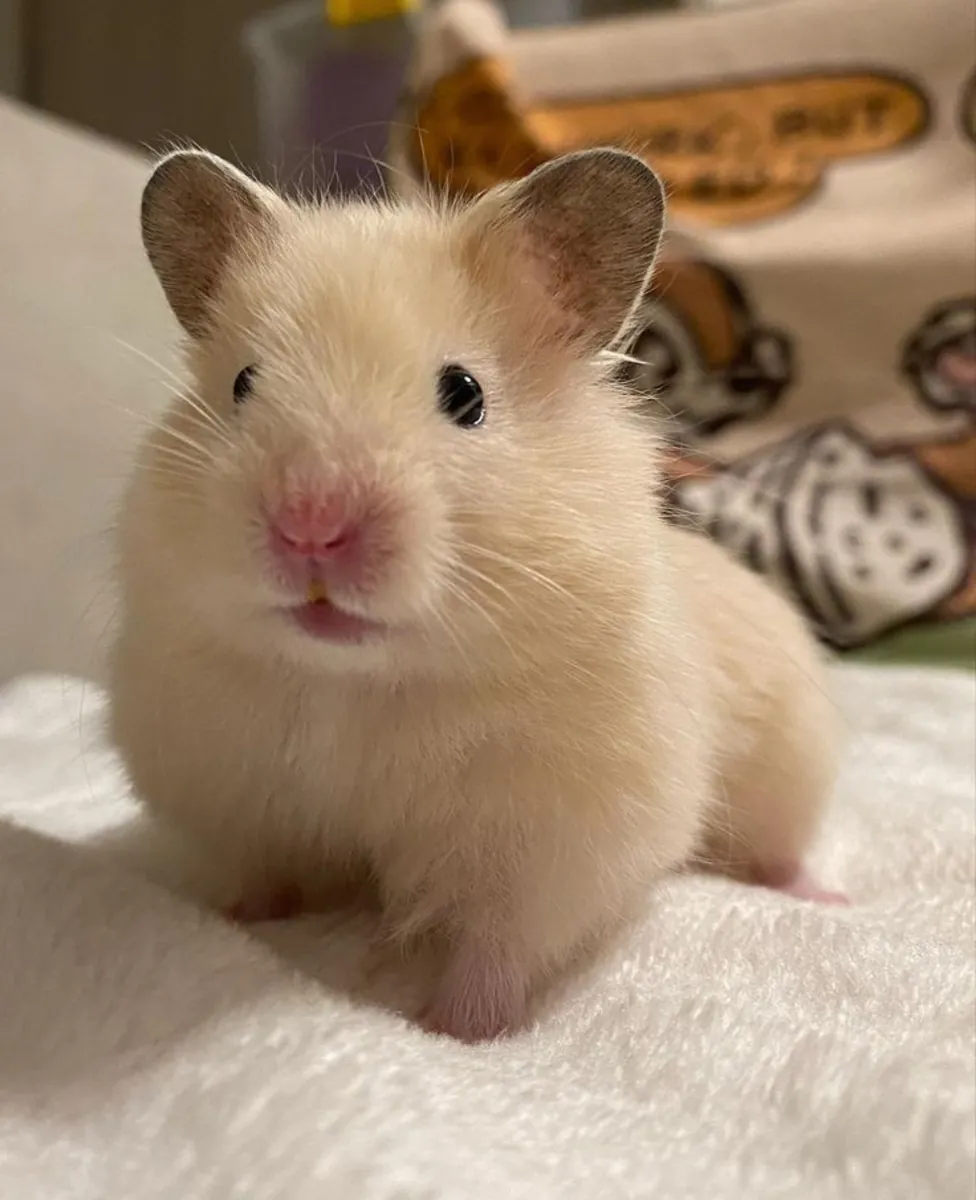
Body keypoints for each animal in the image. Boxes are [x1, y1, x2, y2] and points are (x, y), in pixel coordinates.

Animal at [108, 146, 843, 1044]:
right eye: (243, 384)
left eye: (464, 394)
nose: (311, 527)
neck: (357, 682)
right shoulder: (219, 785)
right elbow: (255, 879)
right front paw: (229, 927)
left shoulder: (562, 835)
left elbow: (499, 945)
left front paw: (454, 1029)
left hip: (792, 762)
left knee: (784, 850)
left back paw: (825, 896)